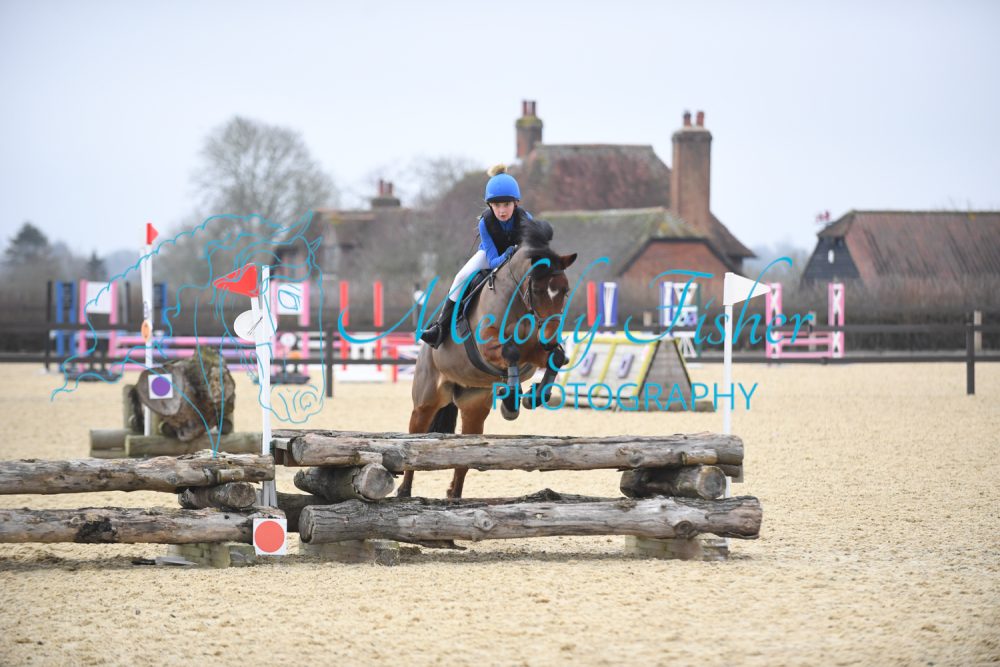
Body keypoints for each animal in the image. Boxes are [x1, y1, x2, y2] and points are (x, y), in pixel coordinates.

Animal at [401, 218, 577, 499]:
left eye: (565, 291)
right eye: (537, 289)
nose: (550, 338)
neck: (519, 304)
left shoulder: (533, 354)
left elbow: (556, 358)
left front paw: (534, 396)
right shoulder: (489, 347)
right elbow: (510, 351)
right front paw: (512, 400)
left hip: (473, 407)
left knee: (466, 455)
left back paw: (454, 495)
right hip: (426, 402)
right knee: (413, 440)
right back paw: (404, 492)